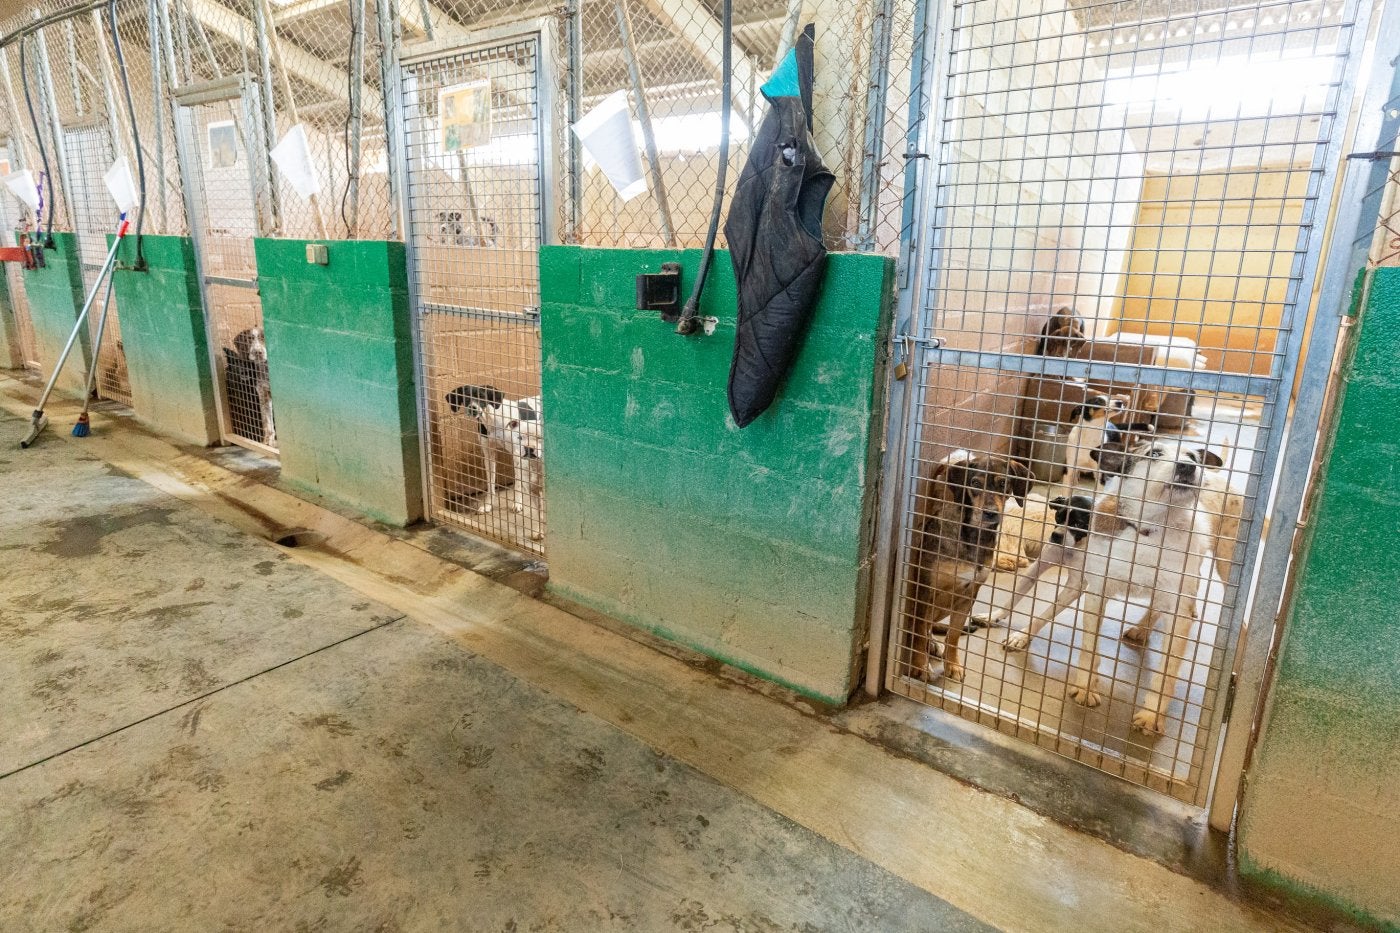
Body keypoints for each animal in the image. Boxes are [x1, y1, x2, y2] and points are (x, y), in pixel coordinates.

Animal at [901, 448, 1036, 680]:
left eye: (1003, 483)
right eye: (974, 483)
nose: (990, 513)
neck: (973, 536)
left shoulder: (968, 594)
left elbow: (953, 634)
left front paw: (953, 665)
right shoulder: (925, 590)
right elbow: (918, 631)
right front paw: (920, 666)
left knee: (930, 629)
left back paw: (934, 645)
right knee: (919, 629)